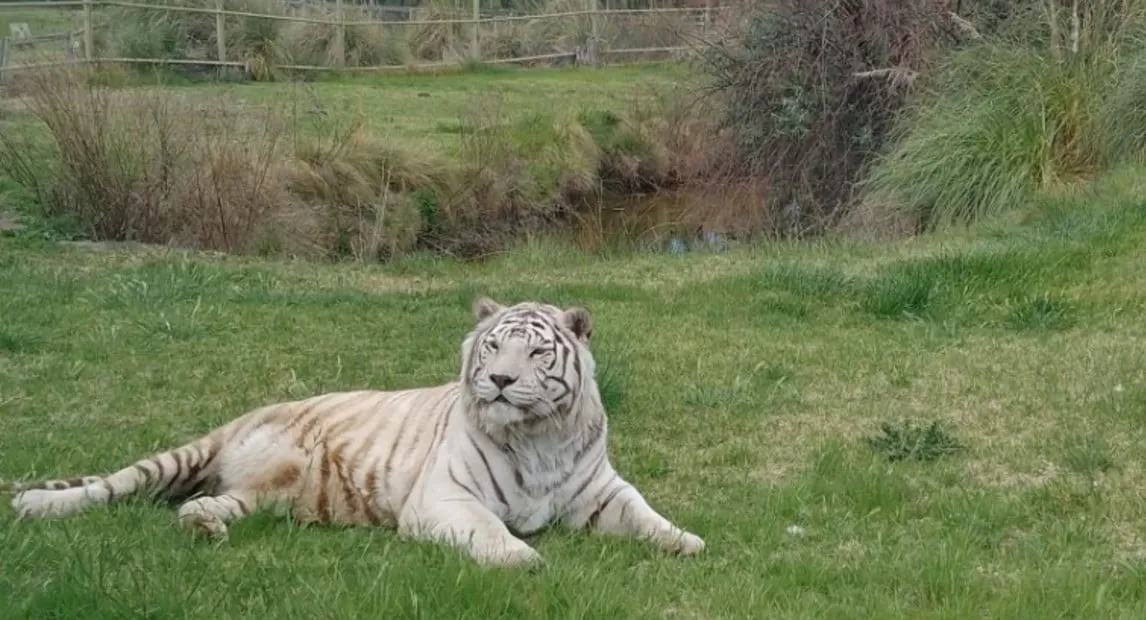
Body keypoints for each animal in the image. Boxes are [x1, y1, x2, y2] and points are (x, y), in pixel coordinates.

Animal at [6, 295, 705, 566]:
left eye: (536, 353)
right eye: (493, 347)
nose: (501, 382)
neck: (539, 436)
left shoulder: (601, 492)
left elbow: (648, 516)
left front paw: (688, 542)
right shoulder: (445, 498)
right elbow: (489, 533)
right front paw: (526, 560)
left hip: (258, 496)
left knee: (204, 505)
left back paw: (204, 526)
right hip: (189, 453)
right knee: (112, 485)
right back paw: (35, 503)